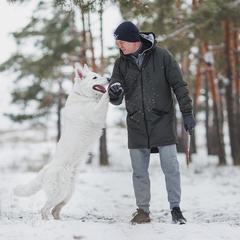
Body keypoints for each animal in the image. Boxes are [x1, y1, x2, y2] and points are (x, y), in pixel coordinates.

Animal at [13, 63, 109, 219]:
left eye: (99, 75)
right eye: (95, 77)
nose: (109, 78)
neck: (84, 97)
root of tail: (47, 168)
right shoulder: (96, 113)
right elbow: (104, 100)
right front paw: (113, 89)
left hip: (67, 194)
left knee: (54, 210)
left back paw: (58, 221)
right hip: (59, 193)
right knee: (44, 209)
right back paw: (48, 221)